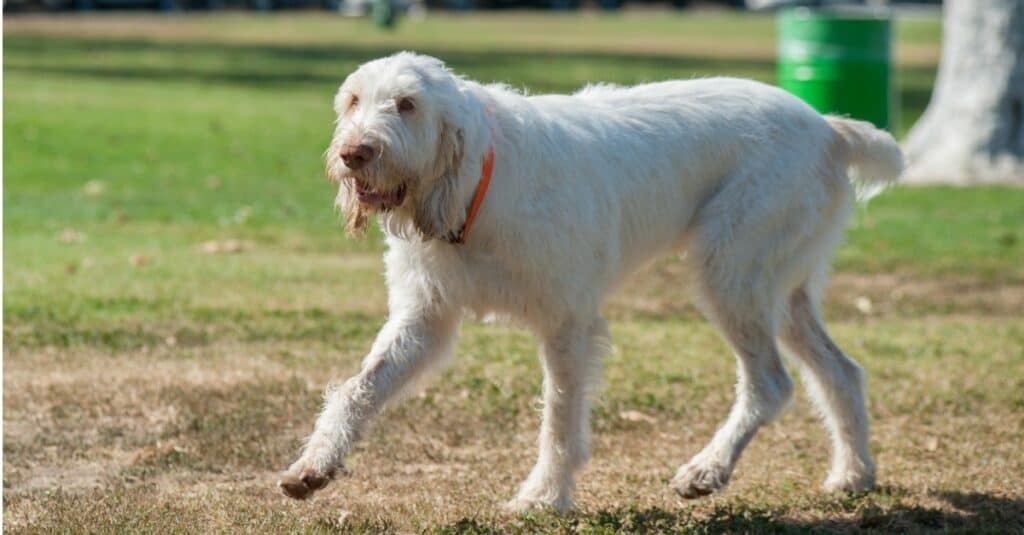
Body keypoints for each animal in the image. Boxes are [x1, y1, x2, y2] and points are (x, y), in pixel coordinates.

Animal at [276, 52, 901, 510]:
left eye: (407, 105)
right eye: (353, 100)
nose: (353, 153)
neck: (475, 185)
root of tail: (826, 128)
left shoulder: (567, 326)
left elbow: (558, 415)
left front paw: (544, 497)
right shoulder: (423, 321)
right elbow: (360, 388)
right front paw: (314, 466)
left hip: (731, 277)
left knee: (771, 382)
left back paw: (707, 470)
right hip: (781, 292)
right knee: (841, 372)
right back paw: (853, 474)